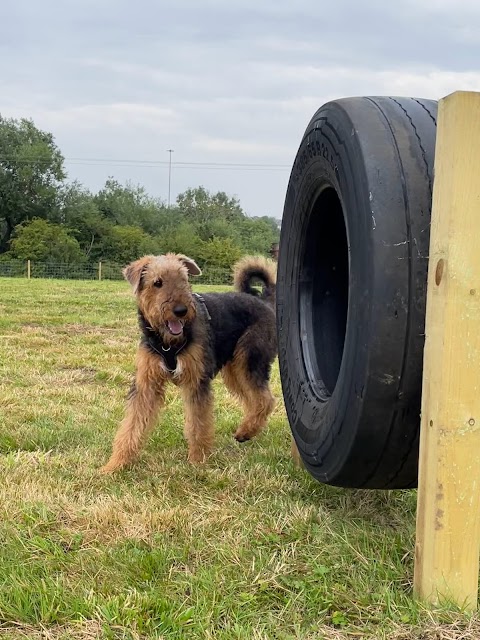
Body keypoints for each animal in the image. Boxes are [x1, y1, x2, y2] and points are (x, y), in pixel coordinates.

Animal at [102, 252, 278, 472]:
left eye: (183, 279)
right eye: (157, 283)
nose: (181, 310)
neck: (167, 343)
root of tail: (264, 301)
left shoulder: (196, 381)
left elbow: (198, 424)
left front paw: (197, 461)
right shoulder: (146, 384)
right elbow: (131, 426)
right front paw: (115, 464)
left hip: (249, 362)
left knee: (266, 400)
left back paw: (246, 431)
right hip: (234, 371)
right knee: (254, 401)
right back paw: (246, 431)